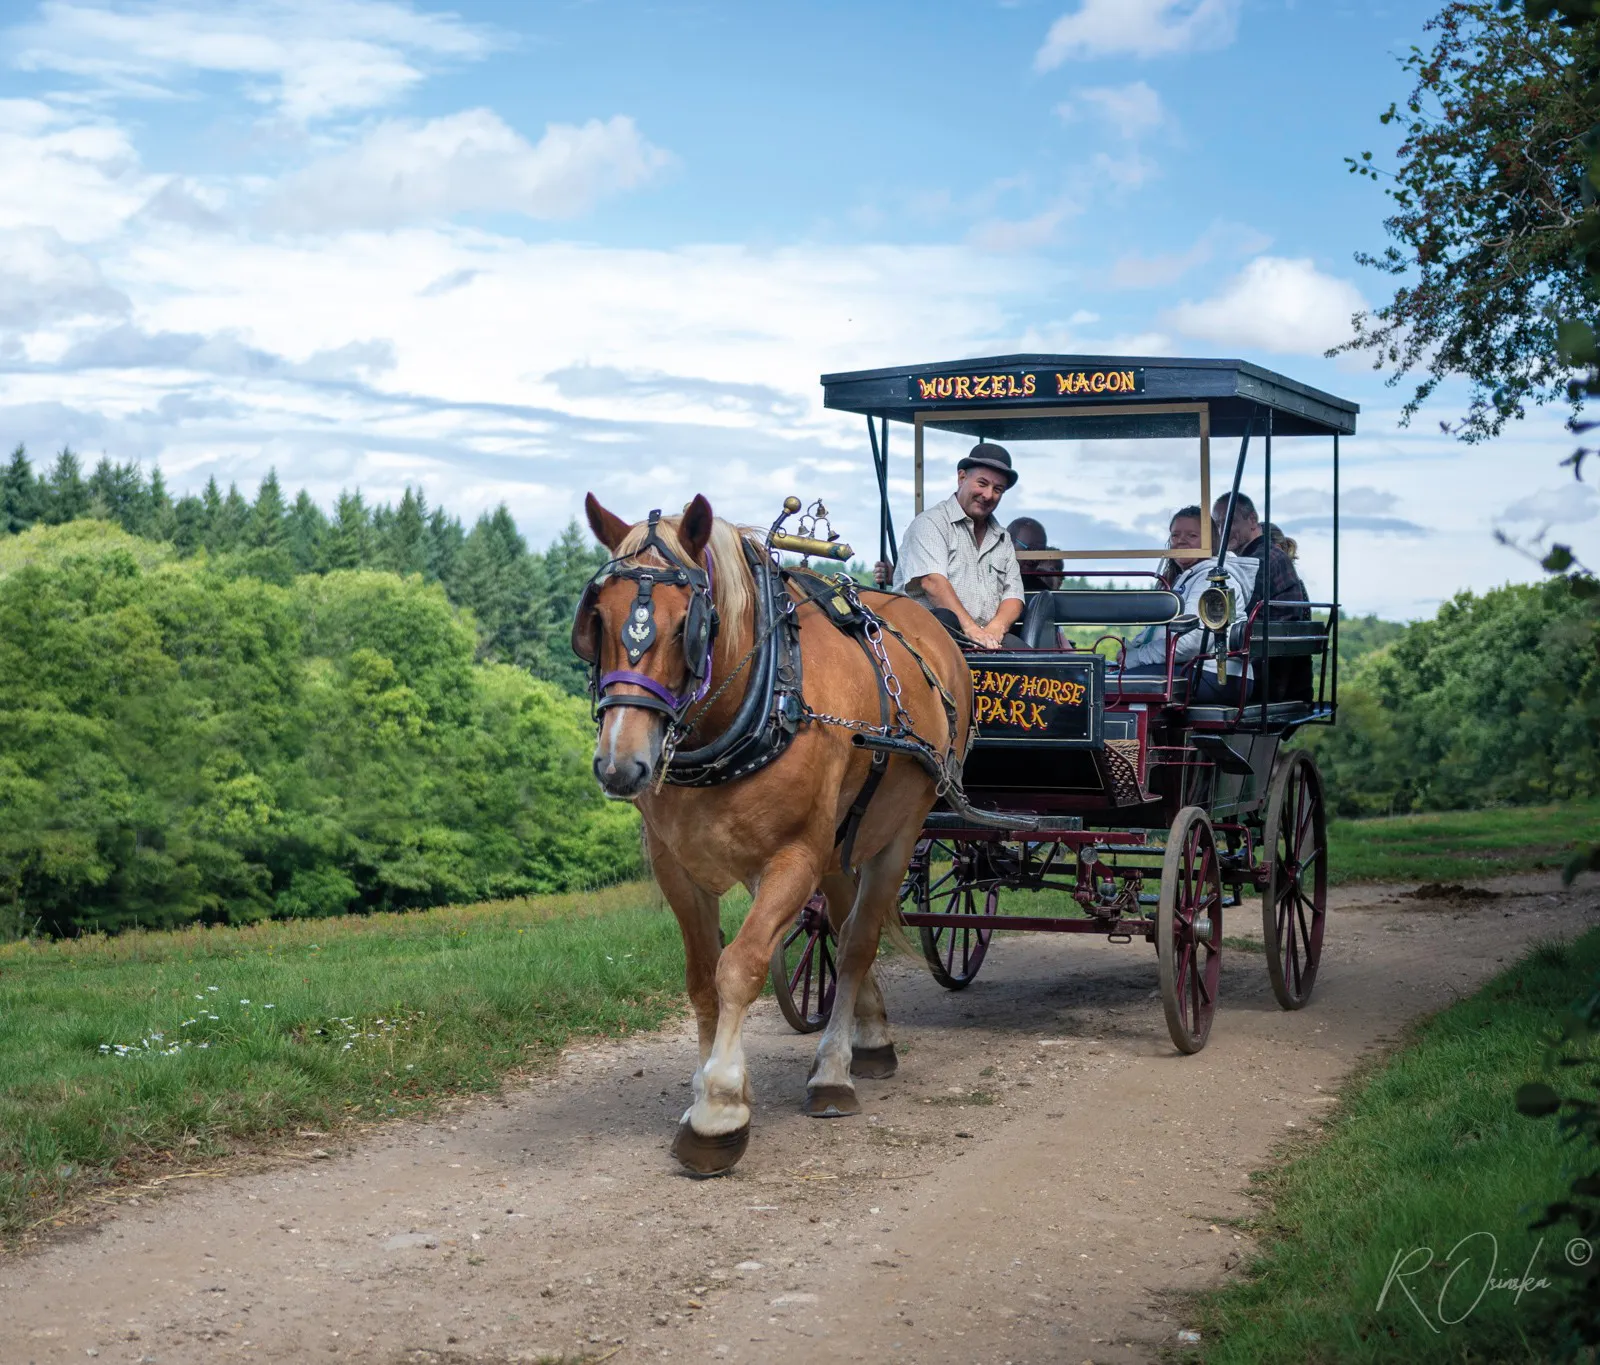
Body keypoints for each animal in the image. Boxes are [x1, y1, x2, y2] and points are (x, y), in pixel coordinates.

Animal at [576, 493, 973, 1175]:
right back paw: (871, 1037)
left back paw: (834, 1072)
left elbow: (740, 966)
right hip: (842, 843)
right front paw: (706, 1083)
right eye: (597, 619)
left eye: (688, 627)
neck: (758, 703)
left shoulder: (793, 859)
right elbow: (702, 978)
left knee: (860, 938)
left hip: (900, 829)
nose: (620, 765)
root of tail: (928, 622)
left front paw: (719, 1109)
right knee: (840, 924)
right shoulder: (677, 868)